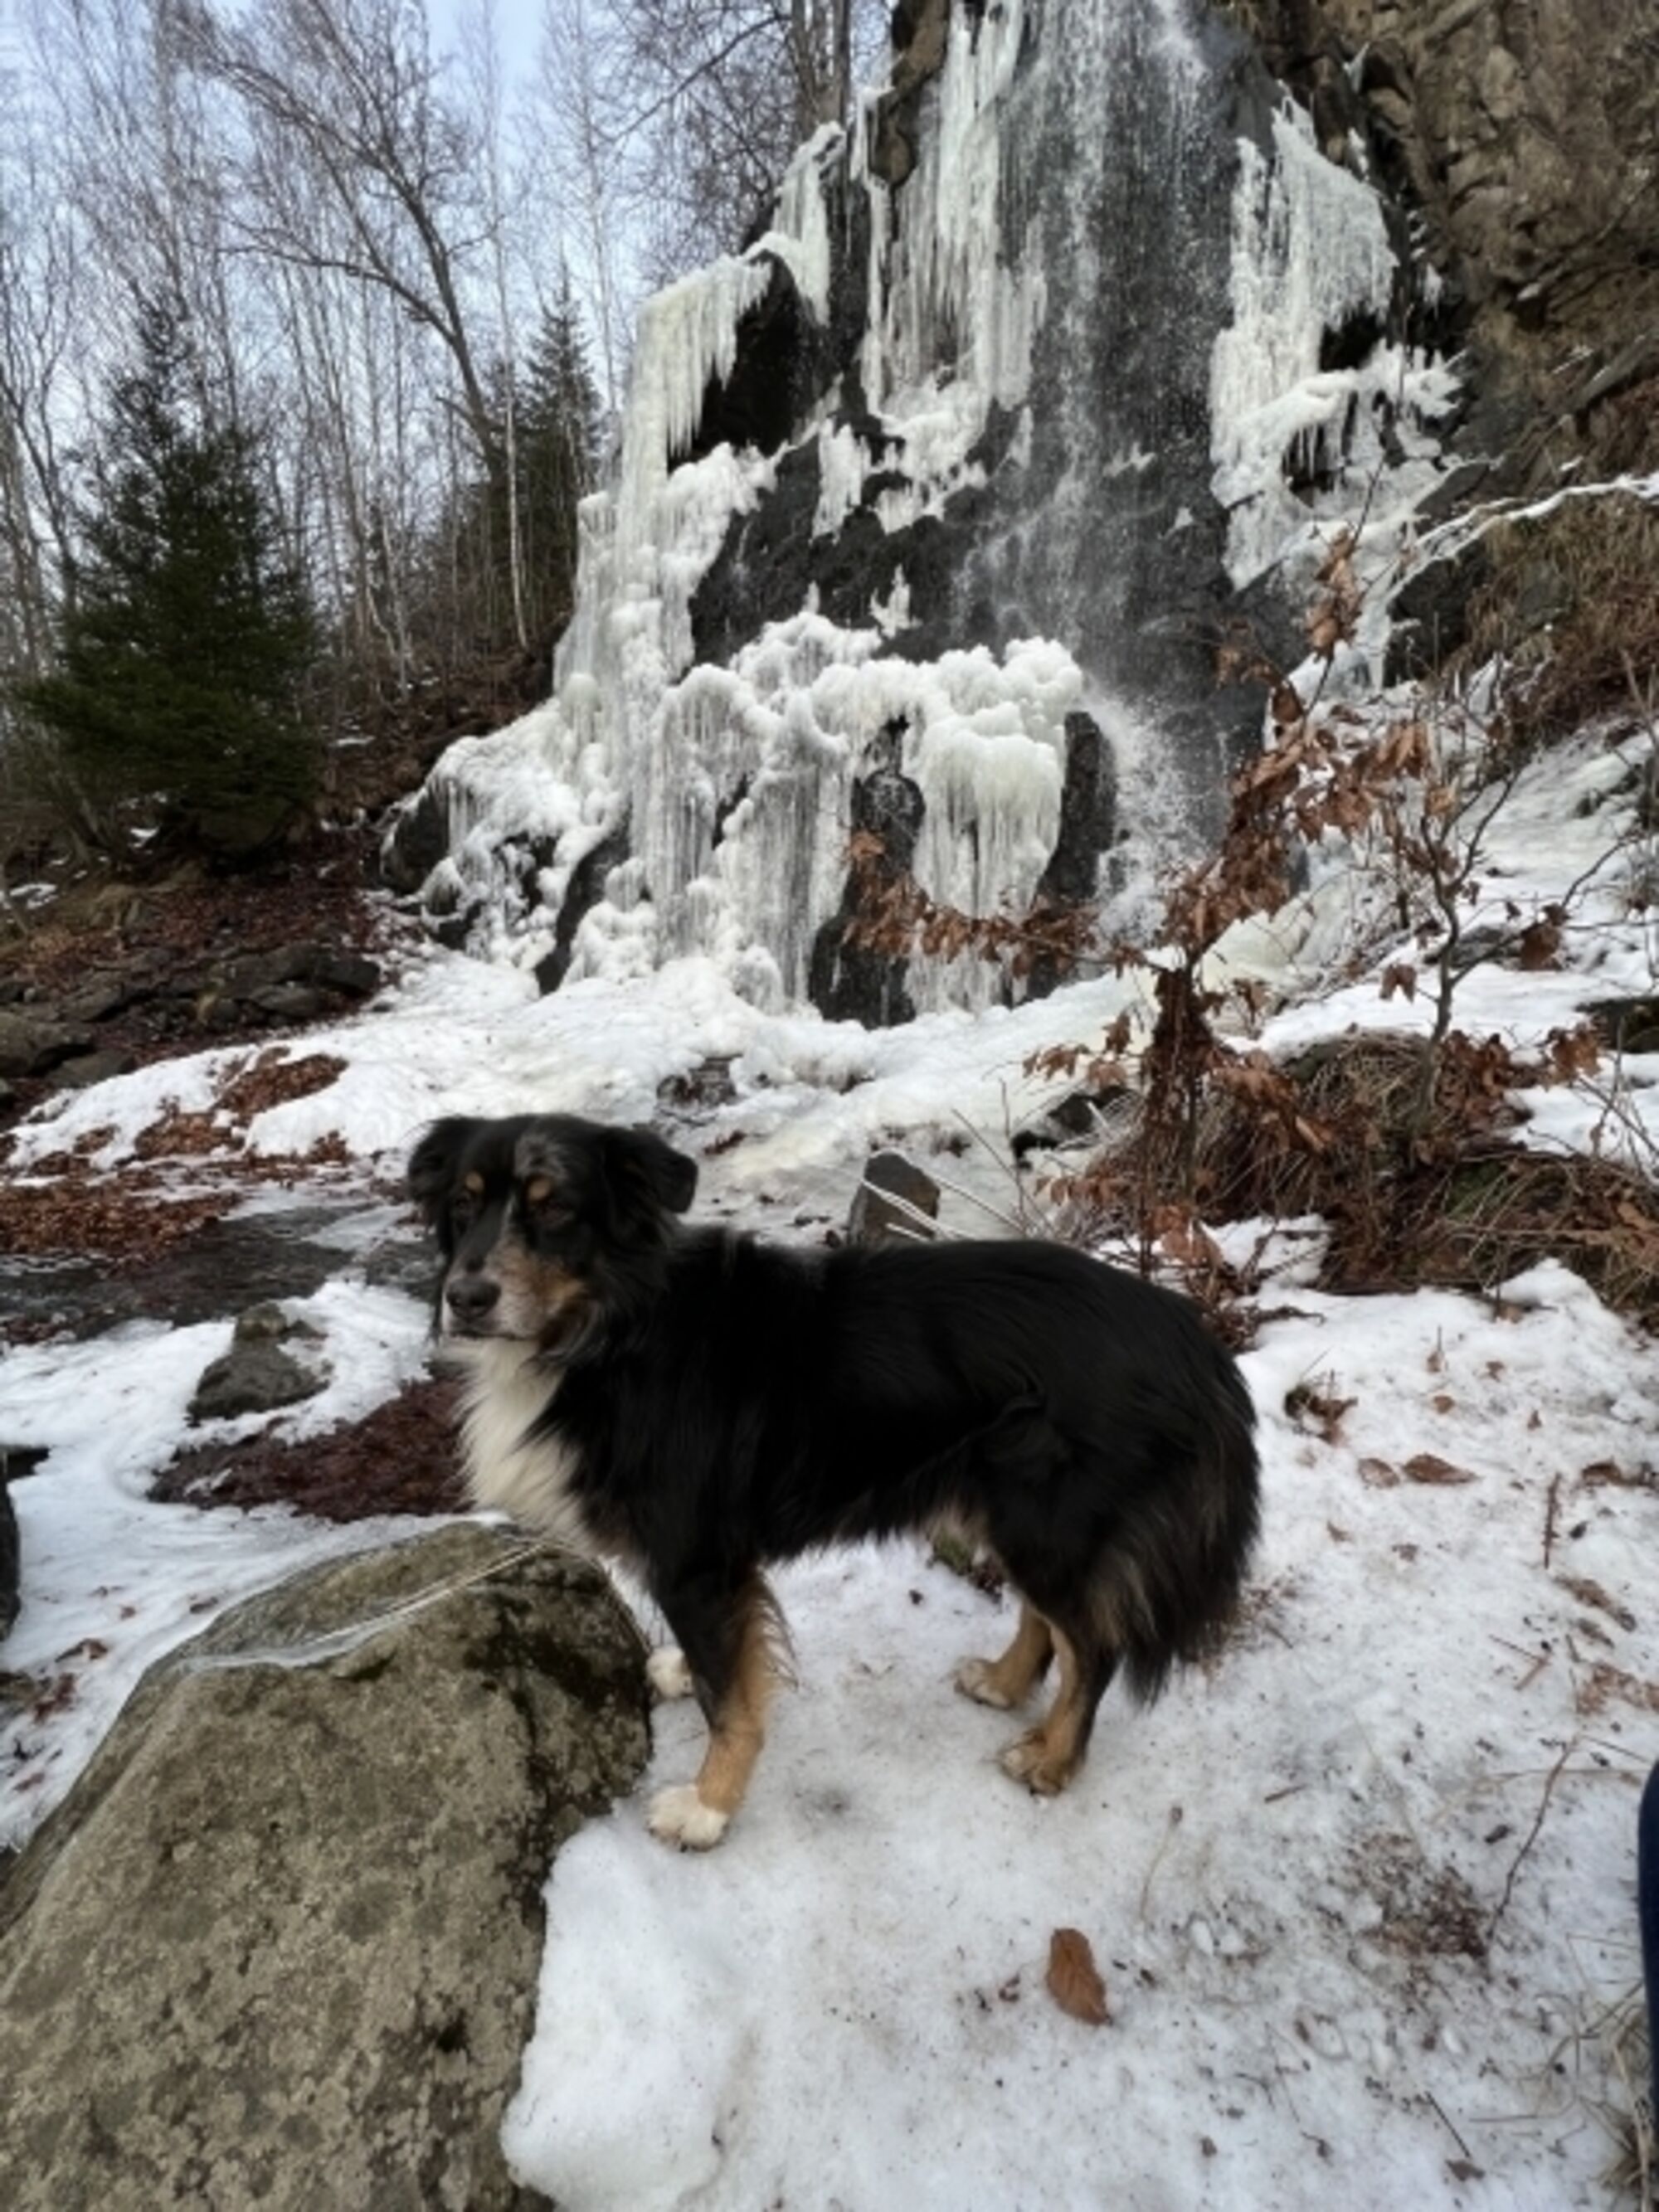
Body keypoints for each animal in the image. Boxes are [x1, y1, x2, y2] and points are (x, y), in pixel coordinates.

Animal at [409, 1112, 1260, 1850]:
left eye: (556, 1209)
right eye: (464, 1202)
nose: (466, 1299)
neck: (613, 1332)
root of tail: (1193, 1340)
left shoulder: (695, 1560)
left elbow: (732, 1701)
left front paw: (708, 1807)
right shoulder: (709, 1569)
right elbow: (726, 1663)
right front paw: (684, 1671)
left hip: (1049, 1515)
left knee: (1093, 1646)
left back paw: (1053, 1758)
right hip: (1005, 1503)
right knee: (1046, 1620)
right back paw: (1003, 1681)